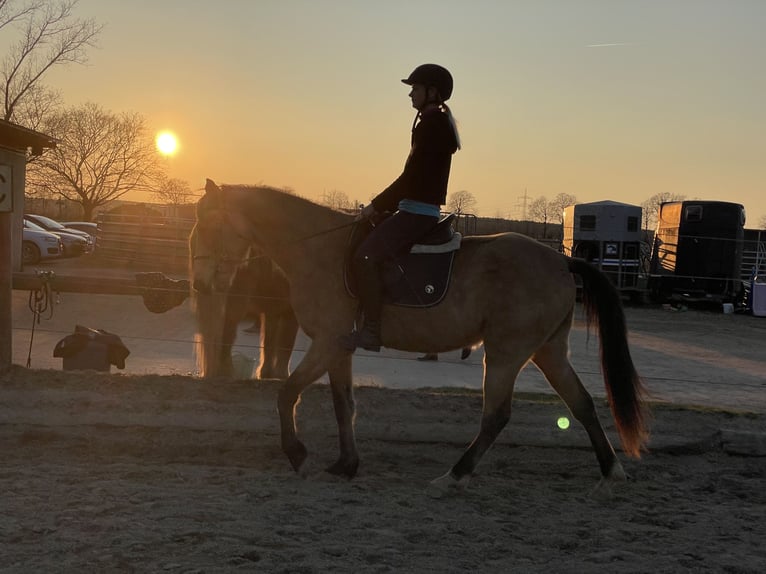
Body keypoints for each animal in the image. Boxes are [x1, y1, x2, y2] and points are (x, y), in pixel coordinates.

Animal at [189, 222, 299, 379]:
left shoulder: (272, 310)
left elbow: (269, 341)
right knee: (228, 331)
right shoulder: (290, 312)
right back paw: (227, 372)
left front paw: (266, 373)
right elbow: (287, 342)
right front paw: (282, 375)